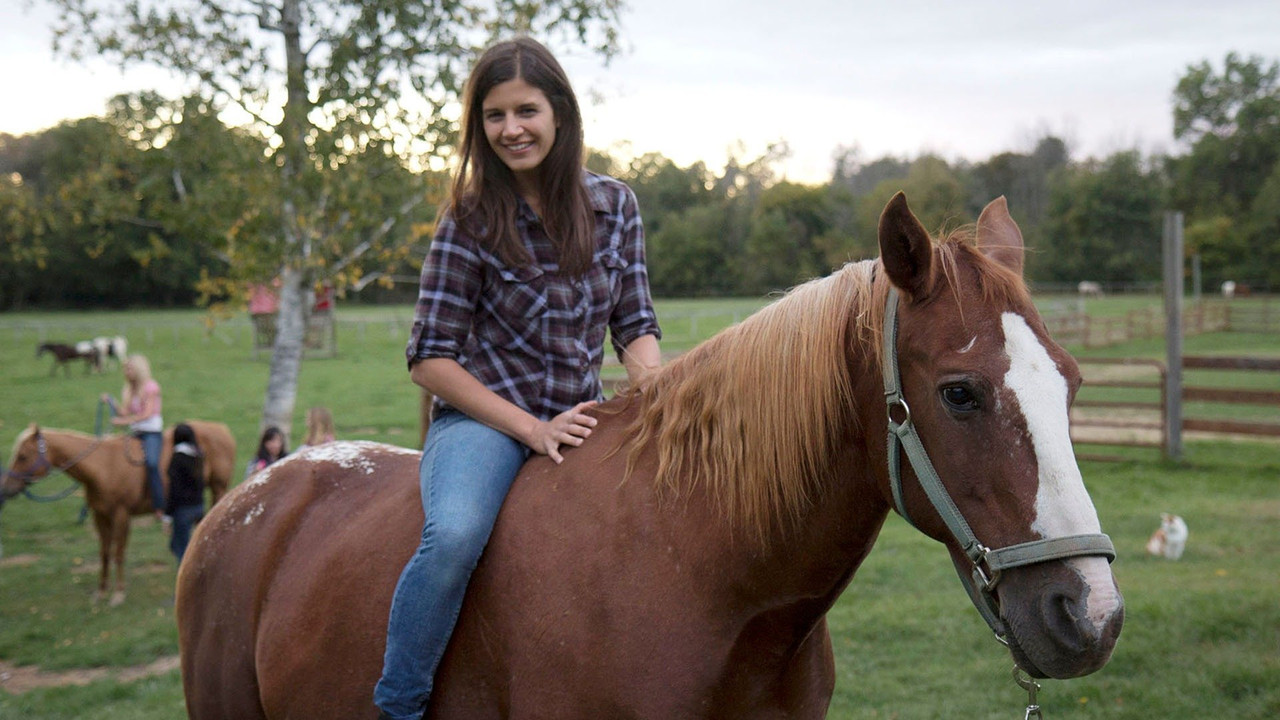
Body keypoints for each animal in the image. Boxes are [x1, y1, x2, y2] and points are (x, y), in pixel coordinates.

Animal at [2, 420, 236, 605]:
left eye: (22, 456)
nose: (5, 488)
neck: (104, 467)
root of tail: (222, 429)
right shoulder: (100, 516)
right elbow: (105, 553)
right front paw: (101, 591)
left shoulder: (121, 515)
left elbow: (118, 553)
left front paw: (118, 594)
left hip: (219, 488)